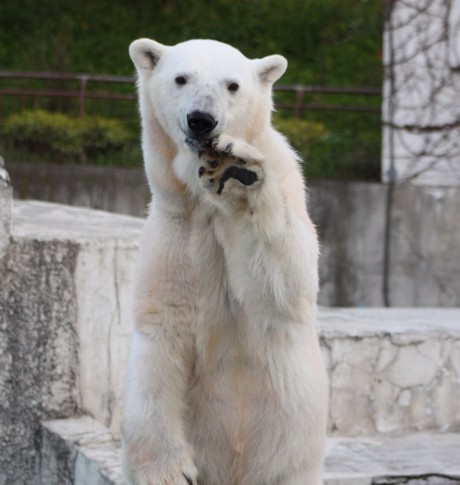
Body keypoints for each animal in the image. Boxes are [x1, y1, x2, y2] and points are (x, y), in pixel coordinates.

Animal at [122, 38, 328, 484]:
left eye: (232, 85)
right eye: (181, 78)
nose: (202, 120)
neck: (204, 204)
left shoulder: (288, 185)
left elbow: (288, 287)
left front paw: (237, 172)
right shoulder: (176, 227)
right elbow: (161, 333)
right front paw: (168, 471)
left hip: (293, 450)